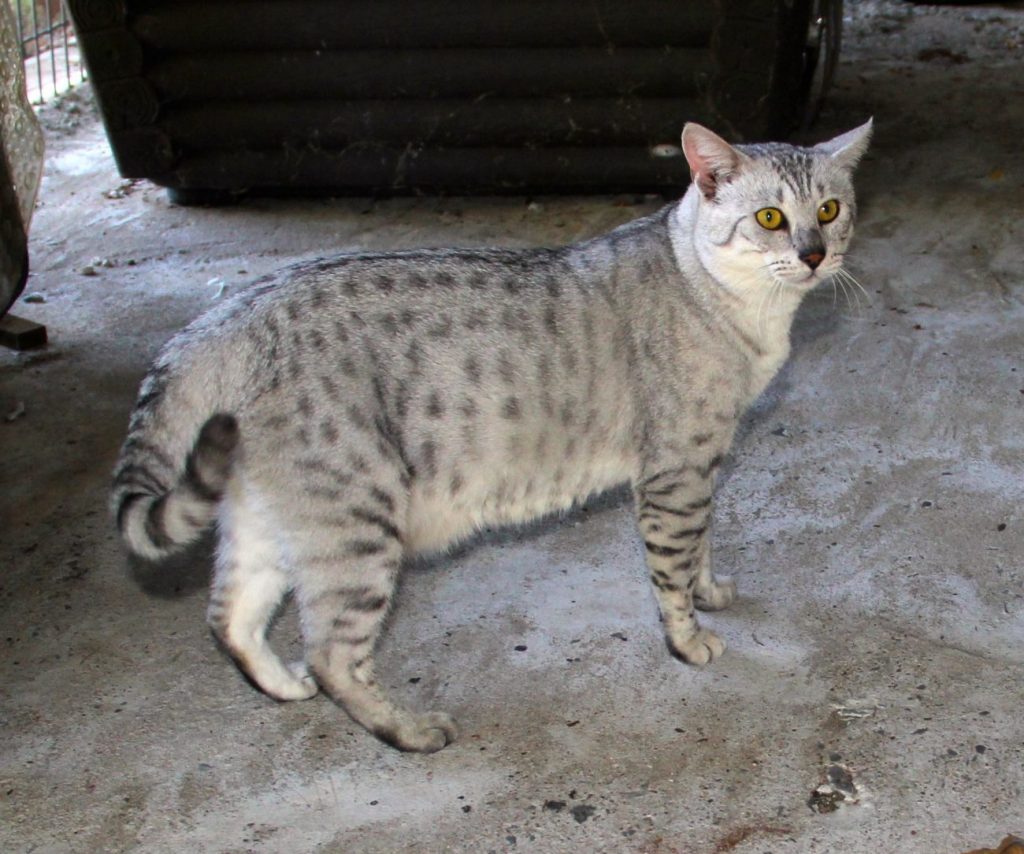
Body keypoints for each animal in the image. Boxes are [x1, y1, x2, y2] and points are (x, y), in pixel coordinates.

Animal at [114, 121, 872, 753]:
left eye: (829, 211)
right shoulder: (677, 469)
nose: (813, 255)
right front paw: (688, 639)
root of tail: (217, 322)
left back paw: (283, 683)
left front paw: (709, 589)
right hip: (357, 521)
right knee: (331, 653)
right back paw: (408, 731)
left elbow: (701, 547)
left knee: (228, 615)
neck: (749, 312)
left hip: (273, 516)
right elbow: (672, 566)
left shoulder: (705, 463)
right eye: (770, 217)